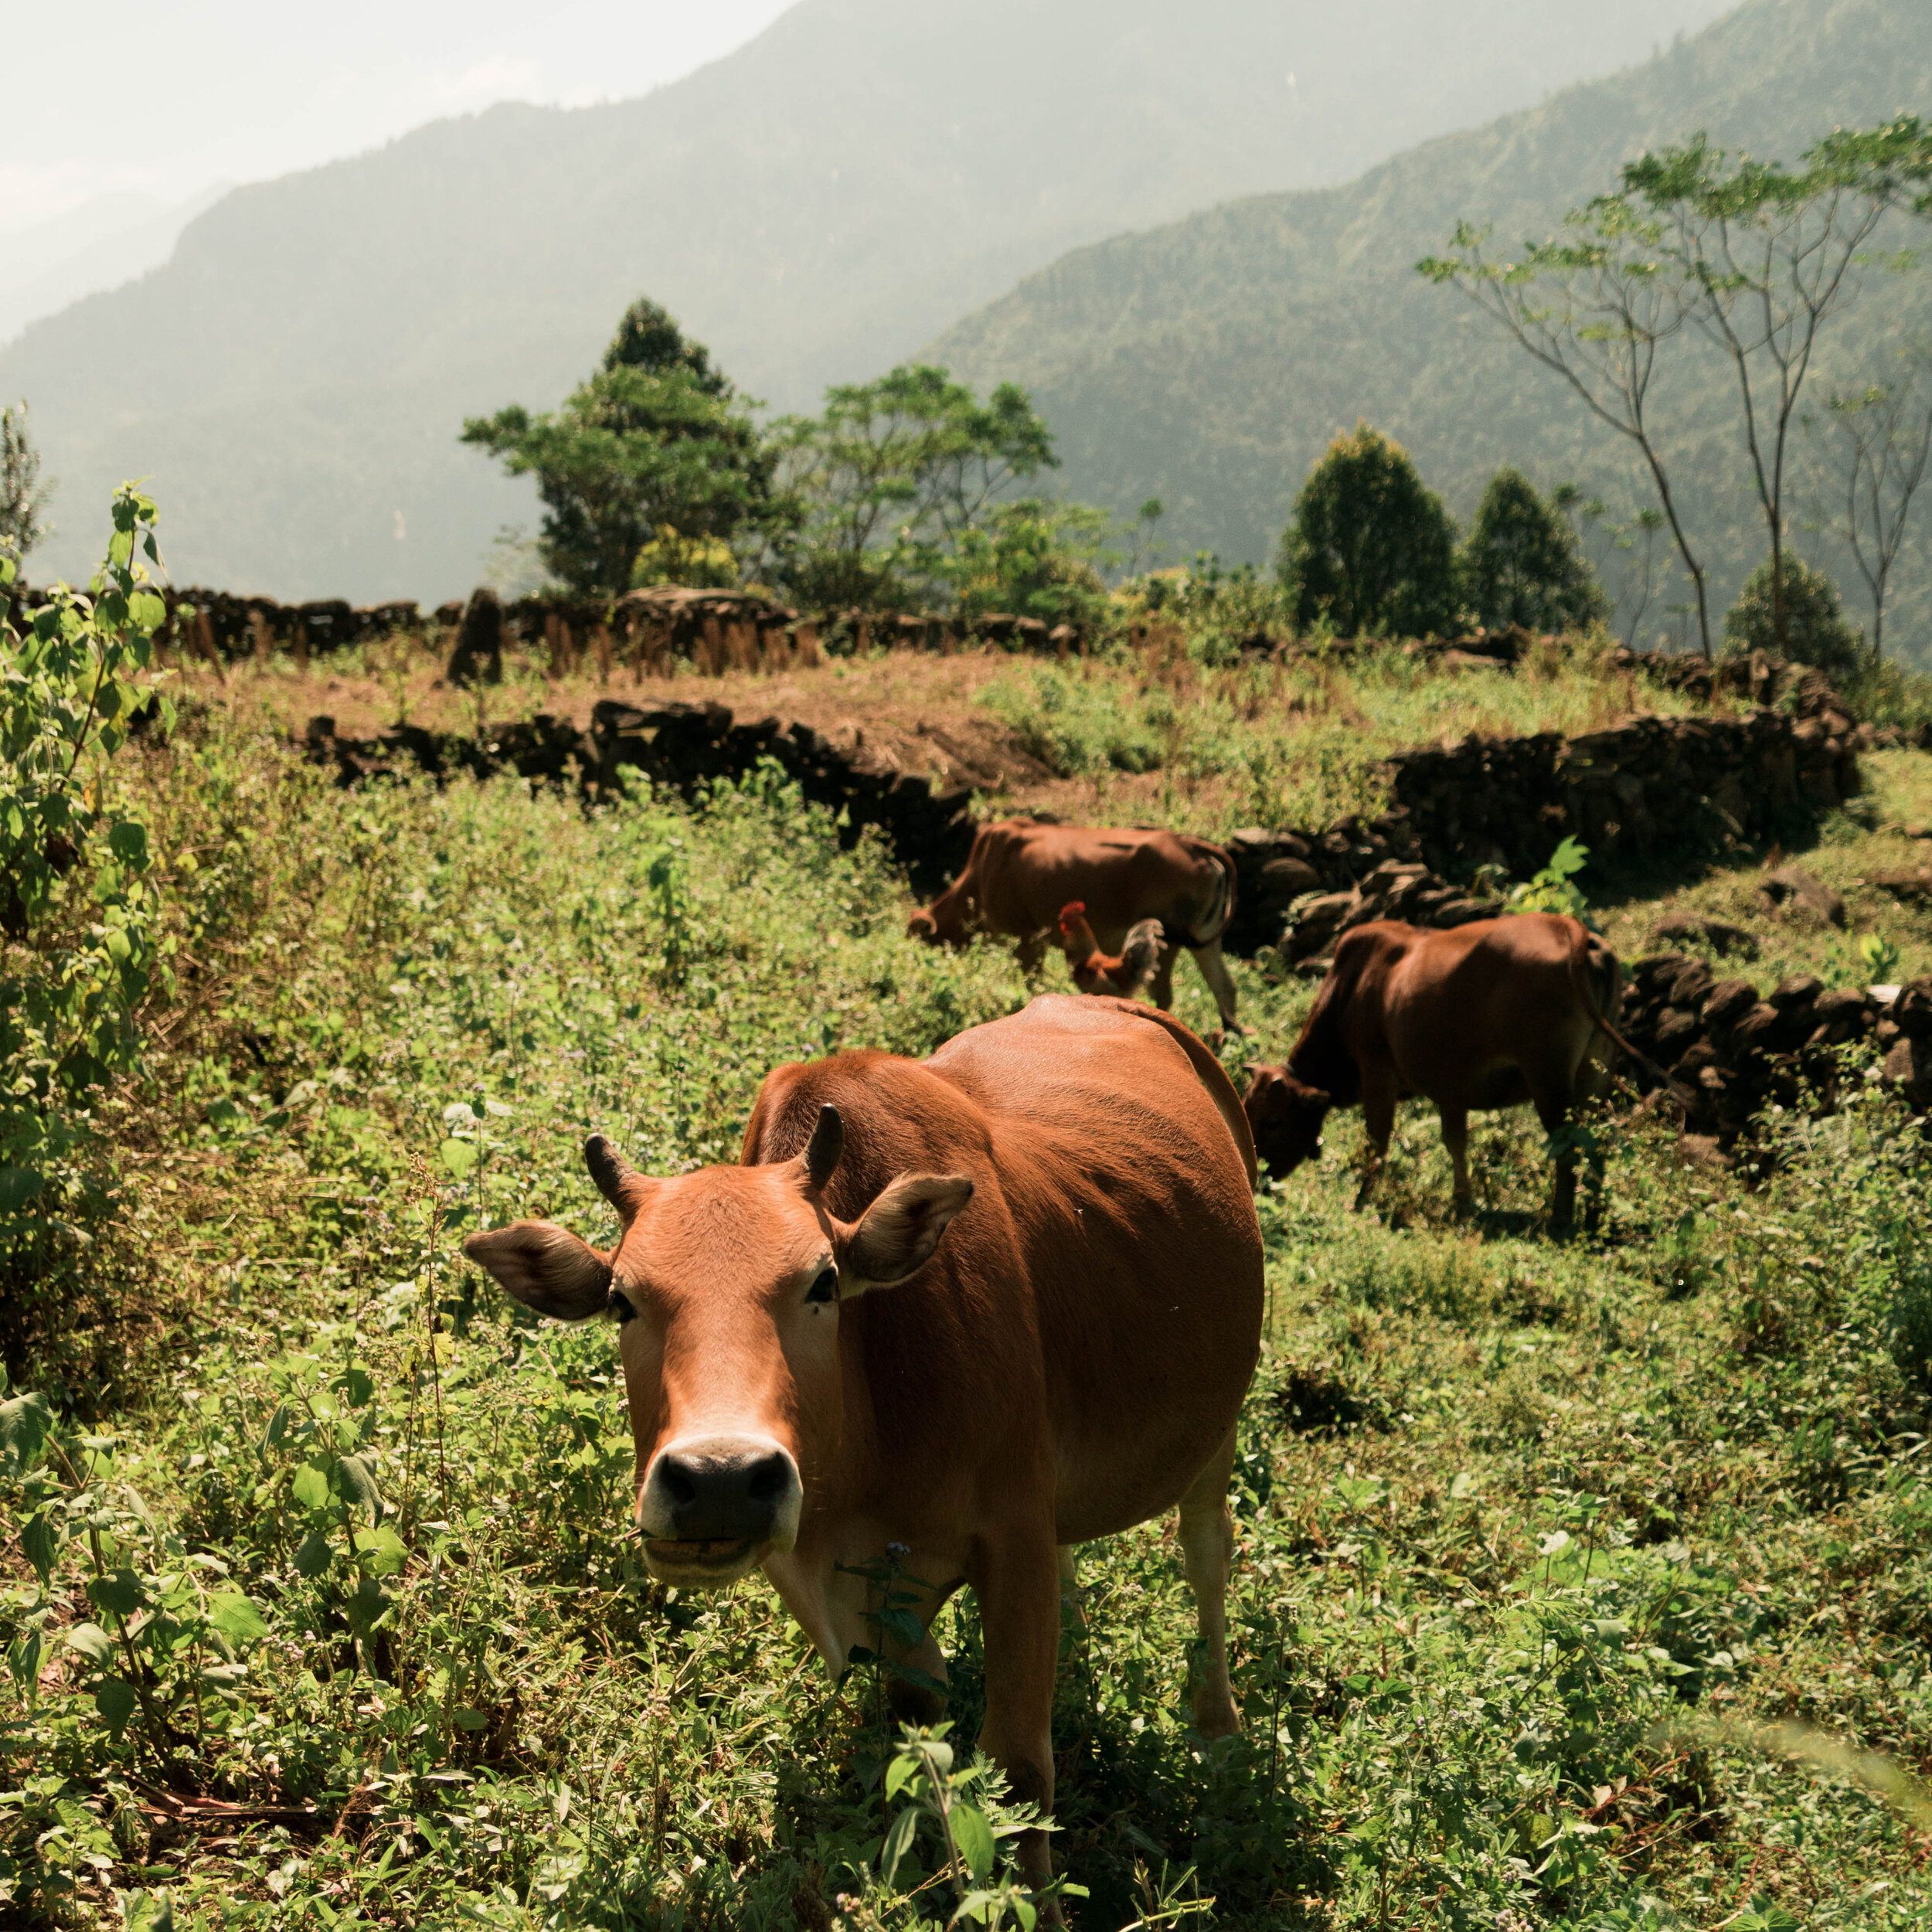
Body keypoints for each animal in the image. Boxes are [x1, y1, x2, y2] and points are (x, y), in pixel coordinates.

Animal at [462, 995, 1264, 1900]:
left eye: (822, 1282)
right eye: (622, 1300)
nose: (721, 1480)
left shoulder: (1014, 1540)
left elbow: (1019, 1770)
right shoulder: (857, 1595)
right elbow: (928, 1747)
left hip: (1219, 1422)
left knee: (1207, 1554)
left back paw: (1218, 1727)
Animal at [908, 820, 1246, 1033]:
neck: (982, 872)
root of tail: (1190, 845)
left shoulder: (1028, 940)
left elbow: (1032, 985)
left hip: (1169, 945)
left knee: (1165, 997)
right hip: (1204, 944)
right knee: (1225, 987)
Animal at [1241, 913, 1649, 1227]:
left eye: (1273, 1120)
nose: (1253, 1178)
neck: (1350, 987)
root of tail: (1568, 928)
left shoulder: (1377, 1072)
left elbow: (1378, 1142)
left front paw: (1361, 1202)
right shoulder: (1451, 1089)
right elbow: (1456, 1144)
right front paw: (1463, 1206)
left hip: (1548, 1079)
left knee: (1568, 1145)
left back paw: (1560, 1221)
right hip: (1595, 1074)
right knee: (1597, 1141)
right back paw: (1592, 1219)